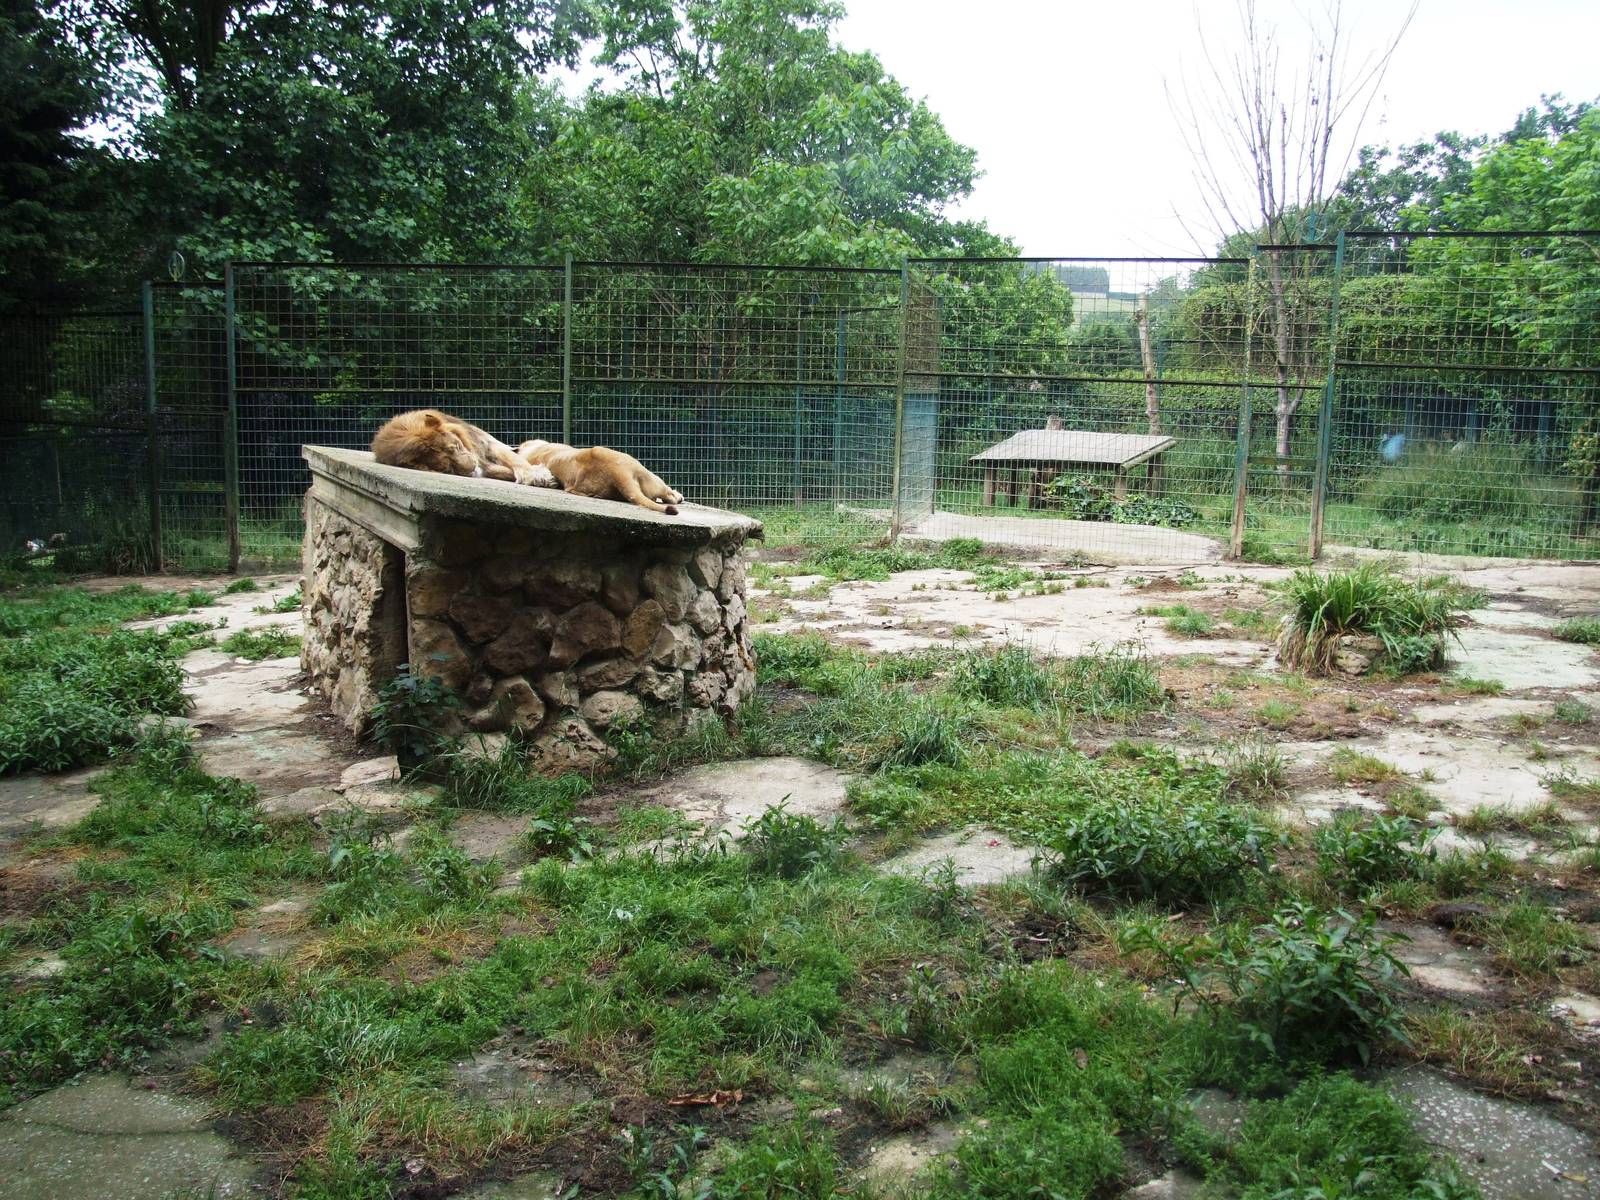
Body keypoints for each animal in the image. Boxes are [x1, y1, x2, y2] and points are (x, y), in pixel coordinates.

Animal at [371, 409, 549, 486]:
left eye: (456, 446)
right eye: (448, 468)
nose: (472, 468)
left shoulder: (487, 444)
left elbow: (515, 460)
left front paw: (537, 475)